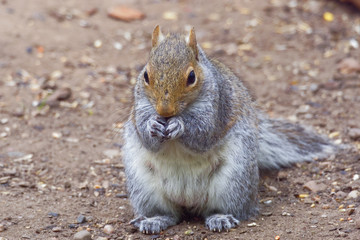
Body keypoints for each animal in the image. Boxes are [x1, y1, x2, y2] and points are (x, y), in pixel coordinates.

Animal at [121, 25, 334, 233]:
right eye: (146, 75)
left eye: (191, 77)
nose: (164, 111)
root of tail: (188, 202)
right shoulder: (141, 107)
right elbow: (147, 137)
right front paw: (152, 124)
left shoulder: (218, 107)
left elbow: (203, 134)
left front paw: (180, 125)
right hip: (144, 188)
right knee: (169, 214)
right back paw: (154, 220)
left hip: (234, 180)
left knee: (227, 209)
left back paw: (220, 218)